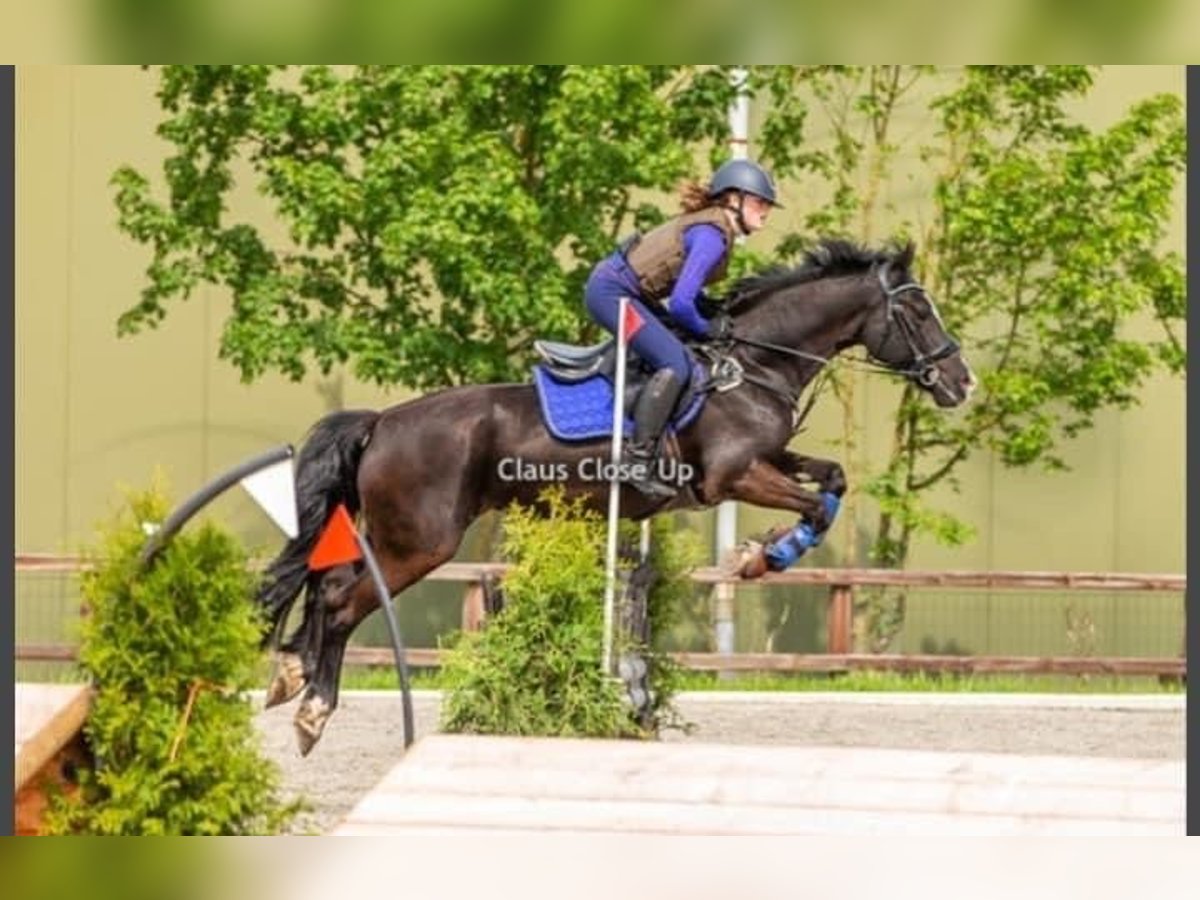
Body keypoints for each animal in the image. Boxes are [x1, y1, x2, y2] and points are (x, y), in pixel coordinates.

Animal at [255, 240, 974, 753]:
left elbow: (832, 482)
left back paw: (290, 679)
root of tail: (382, 422)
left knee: (327, 583)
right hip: (421, 542)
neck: (753, 365)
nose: (961, 382)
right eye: (916, 311)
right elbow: (814, 505)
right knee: (343, 601)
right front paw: (758, 558)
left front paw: (763, 554)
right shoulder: (733, 477)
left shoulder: (767, 460)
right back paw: (313, 710)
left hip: (392, 534)